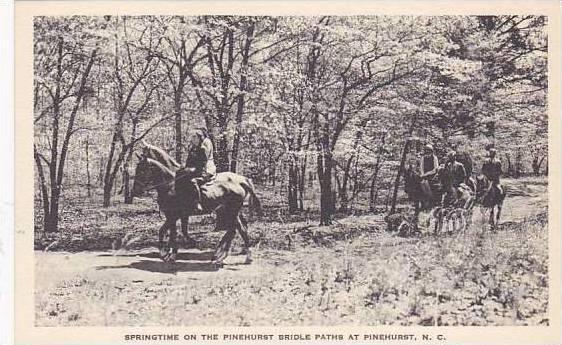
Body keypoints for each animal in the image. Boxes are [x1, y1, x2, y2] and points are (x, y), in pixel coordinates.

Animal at [132, 155, 262, 264]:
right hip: (231, 211)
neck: (171, 187)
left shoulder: (173, 216)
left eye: (142, 170)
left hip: (231, 211)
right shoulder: (175, 217)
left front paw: (170, 254)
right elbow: (166, 231)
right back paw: (226, 255)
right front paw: (166, 252)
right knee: (237, 229)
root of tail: (242, 180)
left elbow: (172, 234)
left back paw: (229, 256)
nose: (136, 191)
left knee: (236, 230)